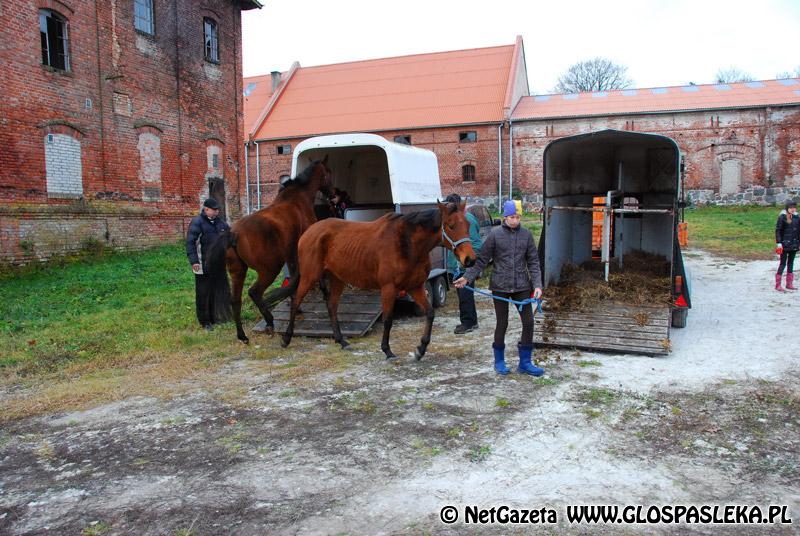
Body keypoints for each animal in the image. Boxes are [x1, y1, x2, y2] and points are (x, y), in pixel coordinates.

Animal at [208, 159, 332, 344]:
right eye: (328, 173)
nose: (333, 194)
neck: (297, 199)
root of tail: (234, 233)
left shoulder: (291, 255)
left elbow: (293, 279)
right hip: (269, 270)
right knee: (254, 292)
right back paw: (269, 321)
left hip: (238, 272)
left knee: (235, 301)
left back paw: (242, 335)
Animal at [282, 201, 476, 360]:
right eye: (451, 226)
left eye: (467, 225)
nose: (470, 260)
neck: (406, 243)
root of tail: (308, 232)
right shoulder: (389, 288)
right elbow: (388, 319)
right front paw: (387, 350)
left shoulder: (415, 287)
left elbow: (430, 313)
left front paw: (421, 349)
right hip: (310, 276)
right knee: (296, 300)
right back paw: (286, 338)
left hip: (337, 279)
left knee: (331, 306)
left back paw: (342, 341)